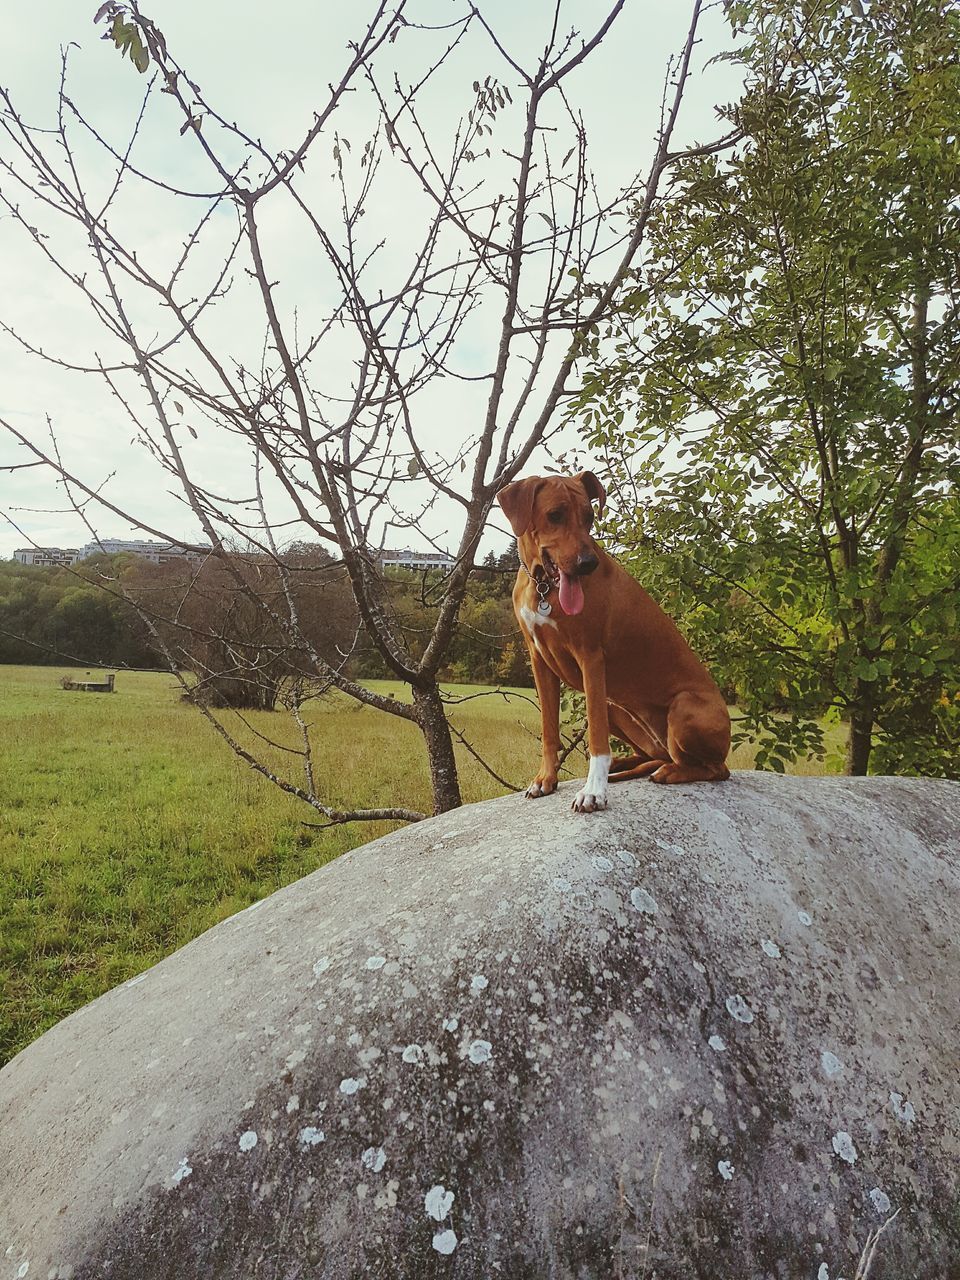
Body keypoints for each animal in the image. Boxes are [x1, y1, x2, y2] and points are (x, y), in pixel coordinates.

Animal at [499, 471, 732, 808]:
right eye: (555, 515)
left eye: (589, 516)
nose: (588, 564)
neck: (542, 586)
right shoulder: (539, 660)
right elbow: (549, 730)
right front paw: (546, 779)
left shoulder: (591, 657)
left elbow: (598, 738)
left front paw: (594, 791)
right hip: (616, 706)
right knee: (654, 756)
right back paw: (626, 766)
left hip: (684, 708)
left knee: (716, 768)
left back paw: (667, 772)